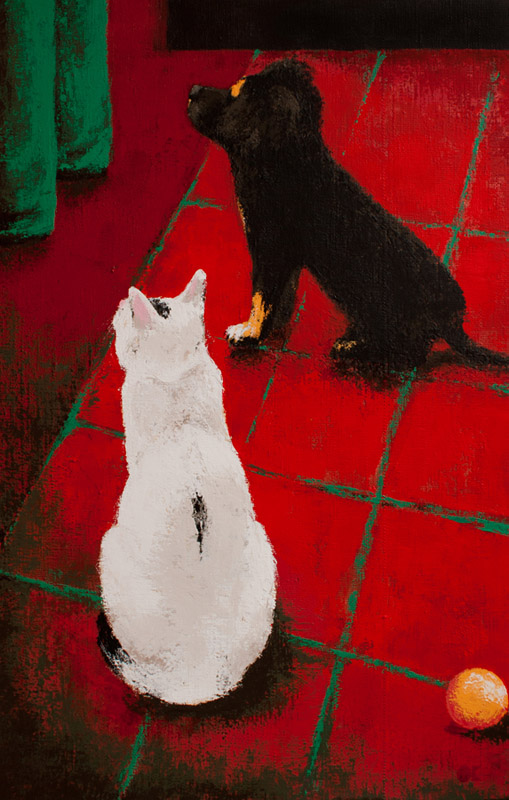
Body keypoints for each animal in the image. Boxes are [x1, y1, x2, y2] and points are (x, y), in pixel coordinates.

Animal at [98, 270, 277, 705]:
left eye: (125, 317)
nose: (117, 309)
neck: (176, 374)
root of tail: (196, 672)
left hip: (108, 549)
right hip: (263, 553)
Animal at [188, 58, 508, 376]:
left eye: (235, 95)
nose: (191, 89)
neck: (286, 160)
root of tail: (452, 321)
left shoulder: (271, 250)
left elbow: (260, 297)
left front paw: (248, 332)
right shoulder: (287, 257)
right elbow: (281, 296)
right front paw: (273, 325)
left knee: (409, 351)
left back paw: (354, 346)